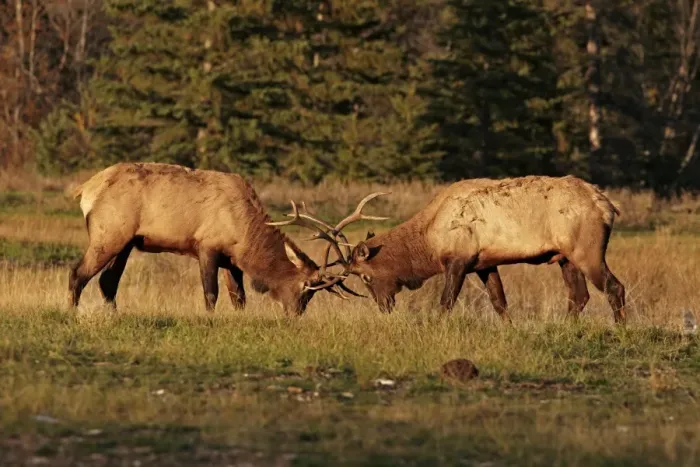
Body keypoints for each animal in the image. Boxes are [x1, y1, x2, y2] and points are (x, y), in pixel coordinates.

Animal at [68, 162, 355, 315]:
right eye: (306, 287)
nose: (295, 313)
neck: (245, 235)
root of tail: (85, 189)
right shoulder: (207, 247)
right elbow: (211, 293)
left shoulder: (231, 261)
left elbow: (239, 297)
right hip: (108, 234)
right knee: (78, 272)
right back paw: (72, 312)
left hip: (126, 243)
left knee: (107, 281)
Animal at [313, 176, 627, 323]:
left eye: (366, 276)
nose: (383, 306)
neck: (428, 240)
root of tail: (608, 206)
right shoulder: (485, 263)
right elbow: (499, 302)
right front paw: (510, 329)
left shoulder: (458, 259)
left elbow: (446, 301)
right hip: (566, 257)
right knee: (579, 295)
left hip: (587, 250)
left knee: (614, 287)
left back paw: (620, 329)